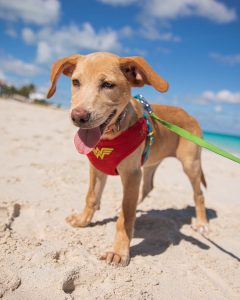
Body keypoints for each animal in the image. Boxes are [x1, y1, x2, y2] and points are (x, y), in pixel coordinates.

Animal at [47, 52, 208, 266]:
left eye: (107, 84)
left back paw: (202, 223)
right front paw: (83, 220)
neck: (110, 137)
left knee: (198, 194)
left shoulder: (131, 174)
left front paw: (119, 251)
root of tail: (189, 114)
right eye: (75, 82)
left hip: (190, 164)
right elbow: (91, 197)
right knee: (147, 187)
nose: (78, 117)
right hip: (149, 163)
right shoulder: (97, 168)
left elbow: (125, 218)